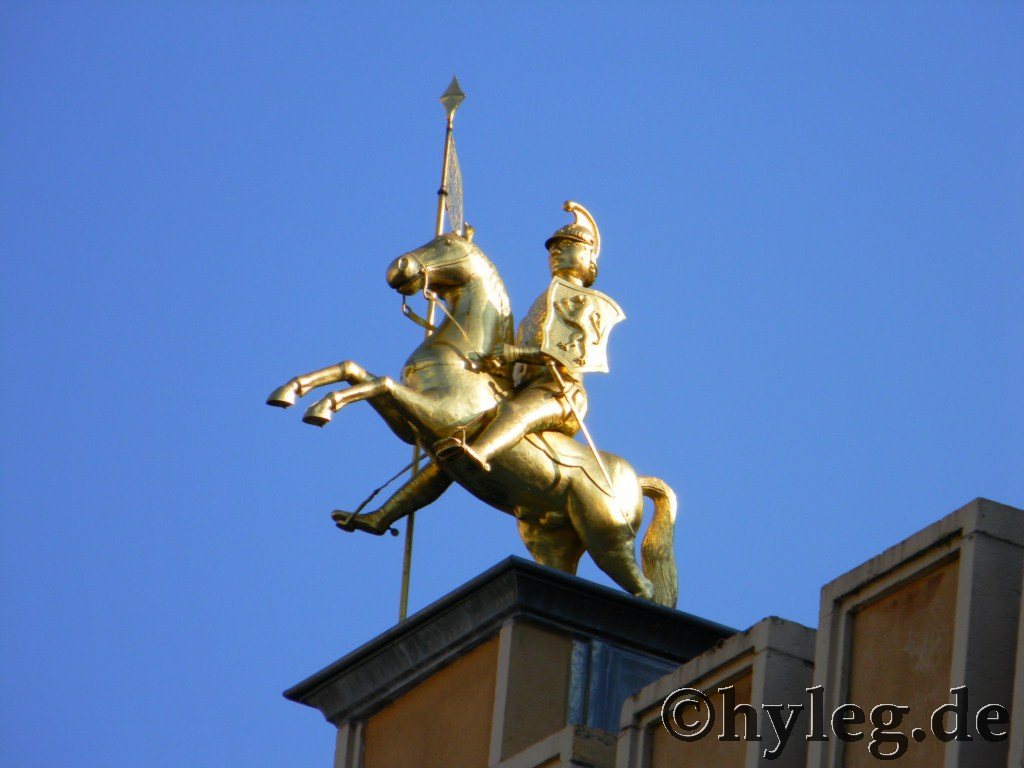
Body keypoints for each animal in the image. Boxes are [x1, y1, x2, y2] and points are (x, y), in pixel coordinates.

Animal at [268, 233, 675, 606]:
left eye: (446, 243)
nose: (398, 268)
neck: (464, 358)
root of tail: (635, 479)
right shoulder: (414, 432)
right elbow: (353, 370)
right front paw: (288, 392)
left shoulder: (439, 415)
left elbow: (378, 382)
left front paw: (321, 408)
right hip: (550, 539)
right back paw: (368, 520)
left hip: (607, 535)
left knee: (646, 589)